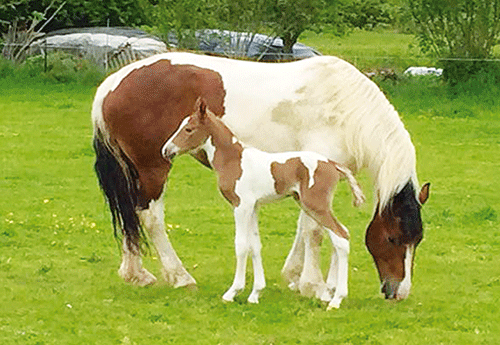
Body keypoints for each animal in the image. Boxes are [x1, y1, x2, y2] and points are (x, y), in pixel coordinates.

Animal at [163, 97, 364, 310]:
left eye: (189, 129)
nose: (166, 150)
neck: (234, 160)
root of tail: (334, 165)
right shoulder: (253, 207)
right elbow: (255, 245)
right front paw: (255, 293)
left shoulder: (241, 206)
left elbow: (241, 245)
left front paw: (232, 292)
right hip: (311, 206)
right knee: (340, 236)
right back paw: (330, 293)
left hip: (316, 206)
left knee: (341, 237)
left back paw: (336, 299)